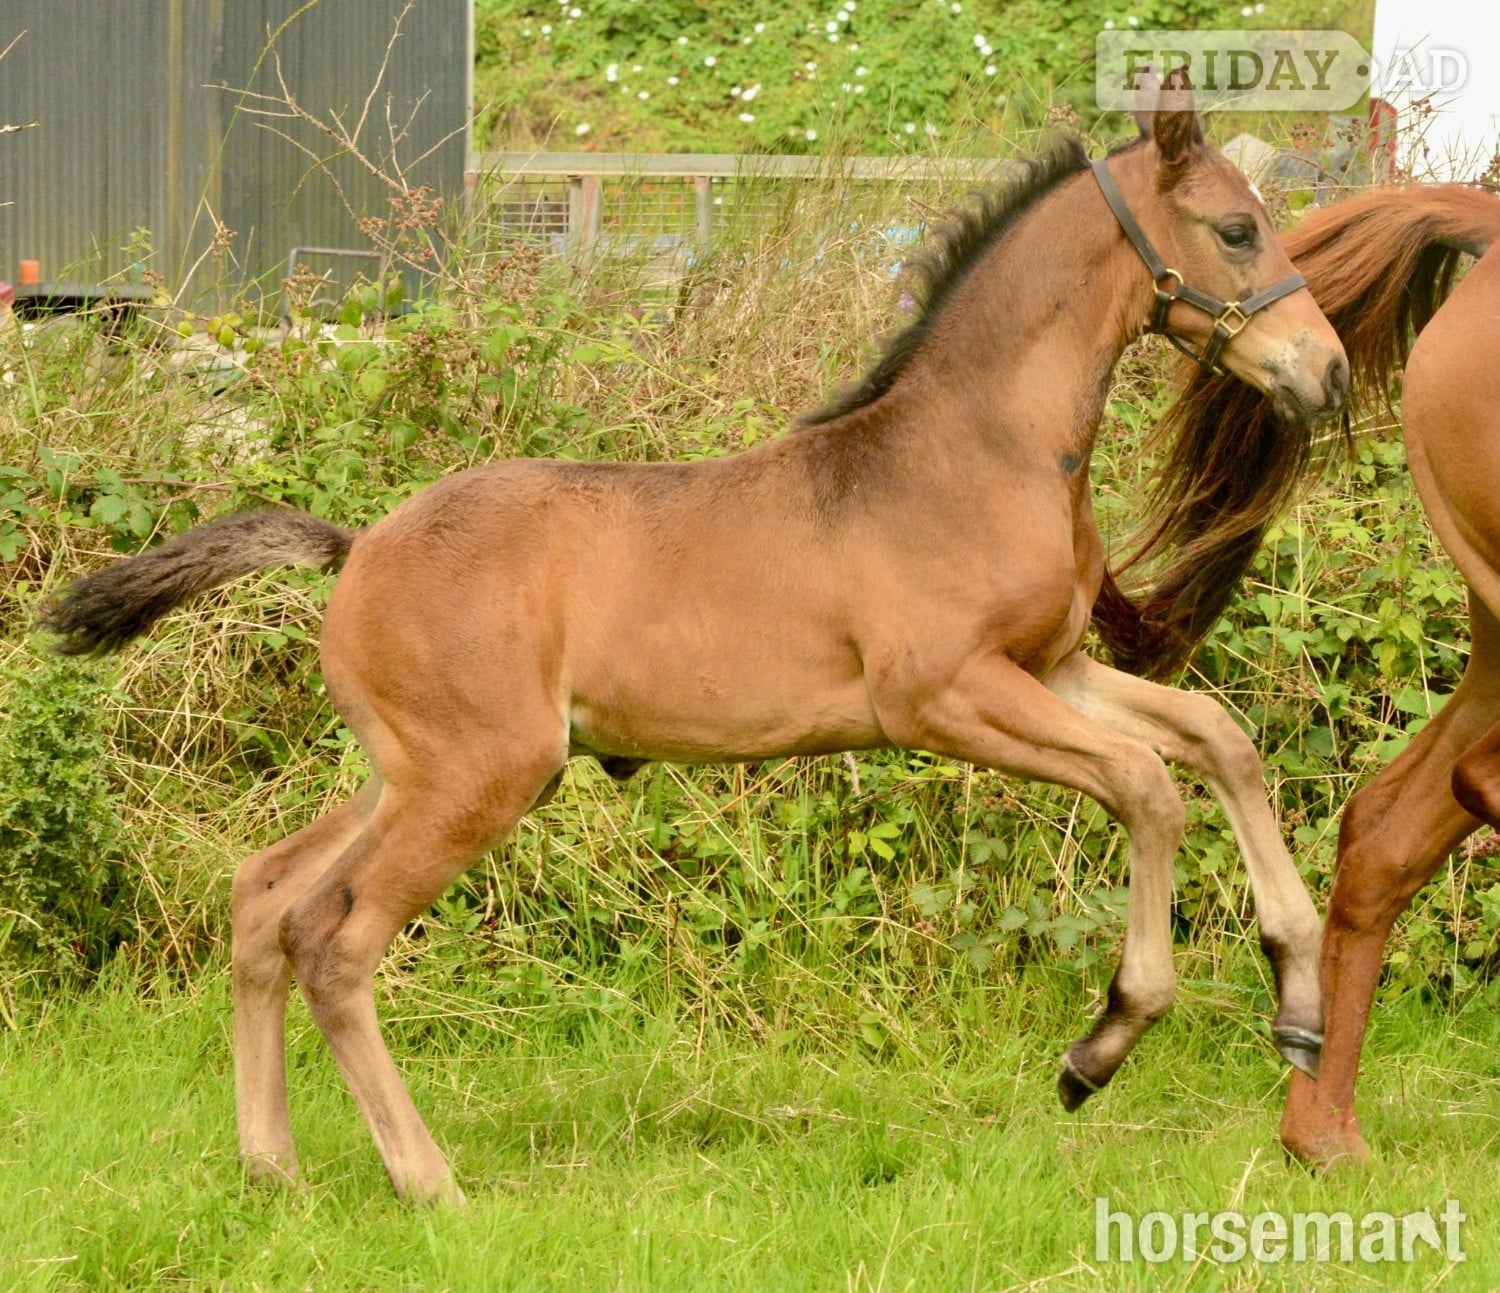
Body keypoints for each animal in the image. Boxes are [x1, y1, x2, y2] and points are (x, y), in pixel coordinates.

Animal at [41, 89, 1347, 1205]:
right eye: (1237, 228)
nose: (1327, 371)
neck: (978, 451)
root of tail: (356, 547)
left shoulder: (1051, 668)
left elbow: (1218, 741)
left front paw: (1299, 998)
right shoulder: (943, 697)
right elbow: (1146, 786)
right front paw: (1103, 1044)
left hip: (416, 772)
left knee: (265, 897)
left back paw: (271, 1165)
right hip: (479, 779)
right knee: (336, 941)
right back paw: (426, 1183)